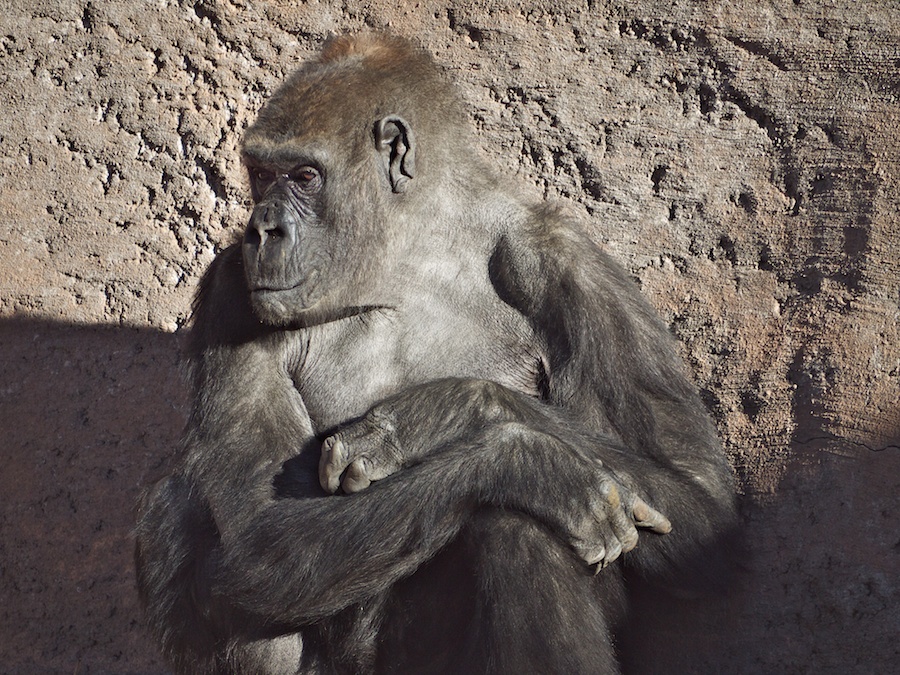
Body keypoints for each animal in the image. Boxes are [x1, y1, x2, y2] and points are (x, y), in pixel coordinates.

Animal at [135, 34, 736, 674]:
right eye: (260, 173)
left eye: (304, 175)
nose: (261, 229)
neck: (411, 255)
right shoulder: (231, 291)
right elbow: (253, 532)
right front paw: (528, 463)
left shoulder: (568, 264)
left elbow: (700, 509)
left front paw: (440, 413)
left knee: (517, 526)